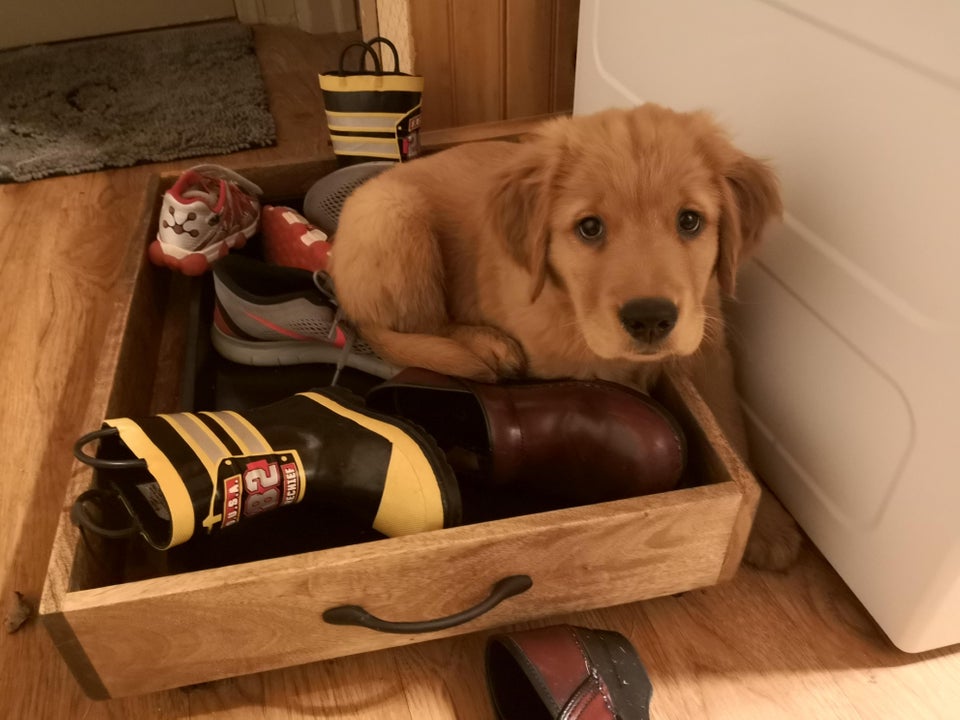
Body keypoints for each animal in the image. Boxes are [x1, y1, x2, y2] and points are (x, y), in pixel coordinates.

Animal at [330, 105, 804, 568]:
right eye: (589, 228)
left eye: (690, 221)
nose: (650, 319)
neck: (572, 308)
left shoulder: (706, 348)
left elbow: (732, 431)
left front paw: (768, 527)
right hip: (396, 217)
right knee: (416, 324)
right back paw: (486, 343)